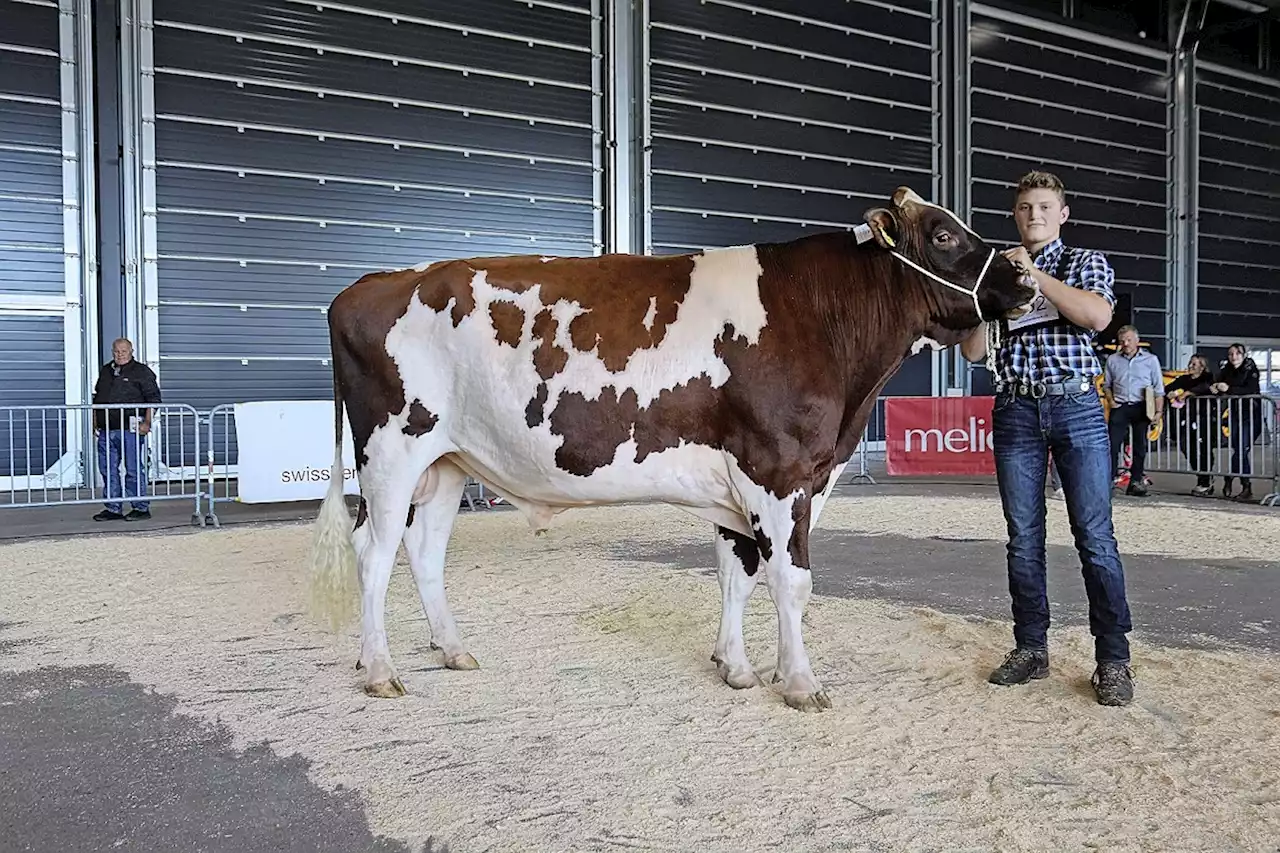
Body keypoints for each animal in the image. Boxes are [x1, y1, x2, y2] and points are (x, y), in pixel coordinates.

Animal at [304, 188, 1034, 712]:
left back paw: (453, 649)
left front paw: (736, 666)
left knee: (424, 550)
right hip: (392, 452)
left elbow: (738, 572)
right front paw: (800, 681)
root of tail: (370, 283)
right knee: (373, 554)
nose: (1025, 276)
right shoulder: (780, 467)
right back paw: (379, 669)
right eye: (943, 234)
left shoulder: (745, 476)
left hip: (449, 461)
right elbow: (790, 579)